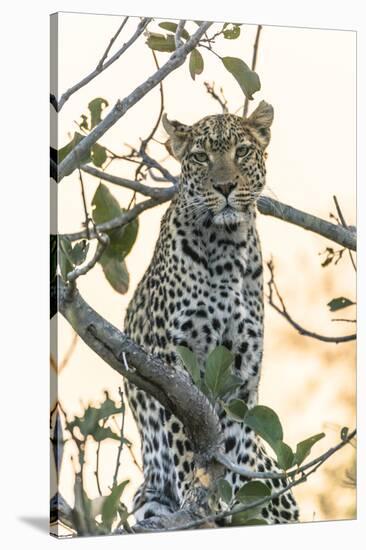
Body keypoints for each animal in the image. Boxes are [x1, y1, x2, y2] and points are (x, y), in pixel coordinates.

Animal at [121, 101, 298, 528]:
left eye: (243, 152)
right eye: (200, 157)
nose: (225, 188)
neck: (226, 245)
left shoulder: (243, 367)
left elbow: (231, 440)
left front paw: (226, 499)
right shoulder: (172, 364)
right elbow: (187, 441)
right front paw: (199, 496)